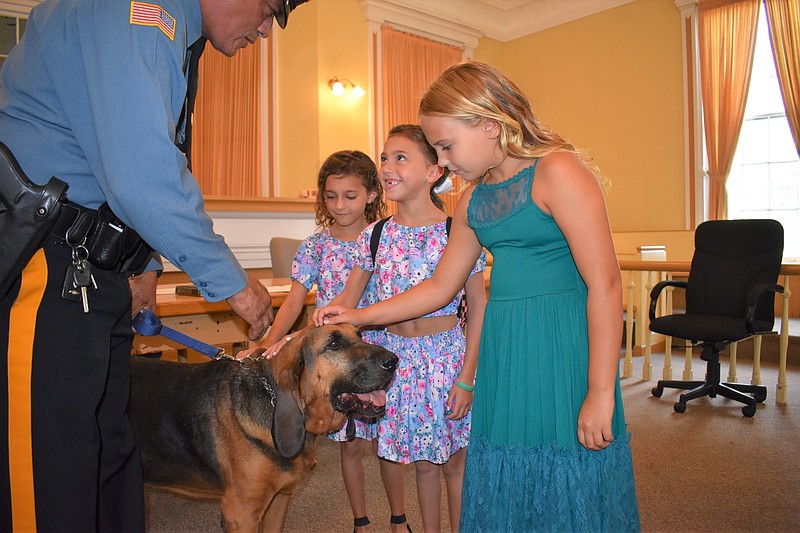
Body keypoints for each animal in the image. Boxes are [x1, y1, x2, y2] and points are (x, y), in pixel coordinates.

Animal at [129, 322, 400, 528]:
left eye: (360, 335)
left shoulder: (279, 500)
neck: (273, 403)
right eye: (334, 344)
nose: (393, 361)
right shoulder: (241, 513)